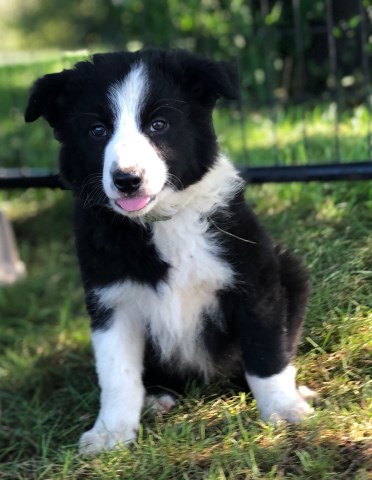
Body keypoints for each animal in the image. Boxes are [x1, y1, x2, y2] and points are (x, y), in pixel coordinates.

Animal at [24, 48, 312, 454]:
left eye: (158, 125)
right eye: (97, 131)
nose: (127, 180)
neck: (160, 222)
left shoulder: (254, 280)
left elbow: (265, 350)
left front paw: (283, 408)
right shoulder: (110, 300)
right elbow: (117, 373)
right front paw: (111, 433)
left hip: (291, 270)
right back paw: (155, 398)